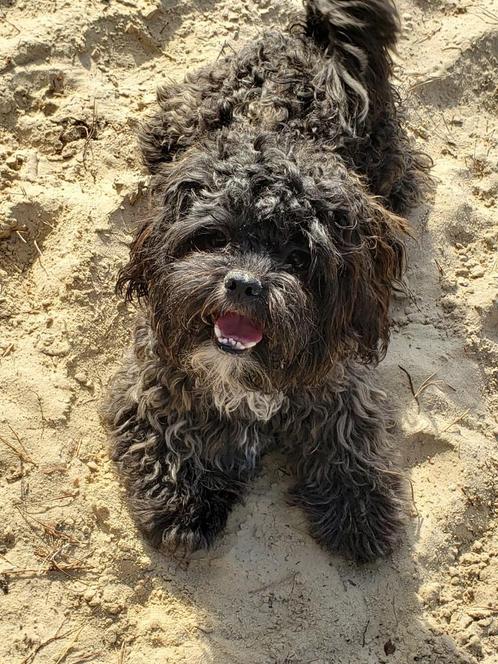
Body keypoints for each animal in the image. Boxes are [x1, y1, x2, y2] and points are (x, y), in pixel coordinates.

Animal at [106, 0, 432, 560]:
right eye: (215, 238)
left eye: (300, 257)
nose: (244, 284)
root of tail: (312, 42)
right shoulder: (155, 375)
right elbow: (167, 432)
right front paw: (183, 501)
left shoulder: (338, 382)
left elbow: (350, 438)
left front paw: (360, 512)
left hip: (386, 160)